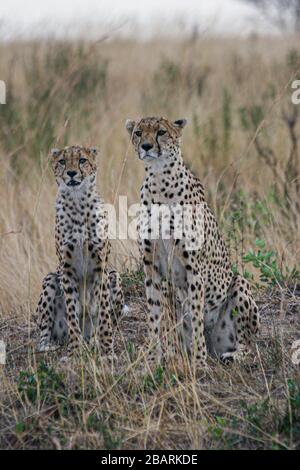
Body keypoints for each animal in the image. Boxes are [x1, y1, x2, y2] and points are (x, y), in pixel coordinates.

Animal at [36, 145, 125, 358]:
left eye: (82, 160)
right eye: (62, 161)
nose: (71, 173)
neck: (77, 202)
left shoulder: (101, 269)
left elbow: (103, 314)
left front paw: (107, 349)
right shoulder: (66, 271)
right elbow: (71, 313)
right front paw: (74, 351)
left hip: (115, 276)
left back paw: (93, 341)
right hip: (51, 279)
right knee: (45, 333)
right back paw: (51, 345)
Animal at [125, 118, 258, 374]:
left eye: (161, 132)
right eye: (138, 132)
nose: (146, 146)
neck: (159, 180)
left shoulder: (193, 268)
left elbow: (196, 314)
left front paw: (198, 363)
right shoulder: (151, 266)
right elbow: (155, 315)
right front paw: (154, 361)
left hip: (239, 285)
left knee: (250, 344)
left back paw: (232, 354)